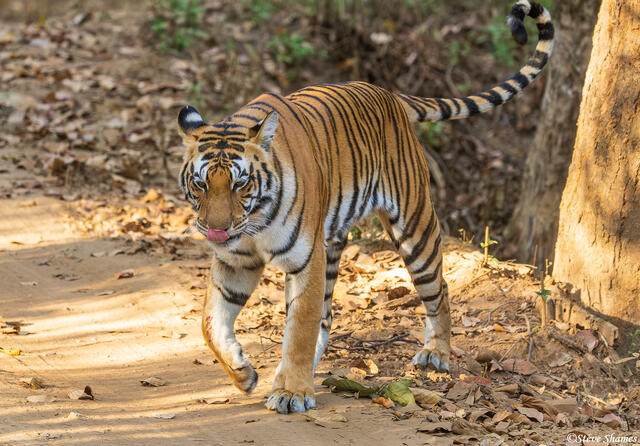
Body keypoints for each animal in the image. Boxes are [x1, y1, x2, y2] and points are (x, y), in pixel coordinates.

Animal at [176, 0, 553, 414]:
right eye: (200, 183)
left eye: (240, 183)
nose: (216, 229)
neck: (254, 224)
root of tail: (387, 92)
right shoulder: (236, 261)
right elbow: (210, 323)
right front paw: (244, 374)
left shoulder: (305, 260)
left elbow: (299, 328)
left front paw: (292, 393)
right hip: (334, 243)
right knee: (326, 318)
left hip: (414, 226)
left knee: (438, 288)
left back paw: (435, 355)